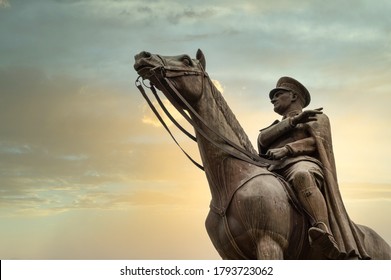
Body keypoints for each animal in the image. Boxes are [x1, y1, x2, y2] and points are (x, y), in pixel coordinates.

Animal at [134, 48, 391, 260]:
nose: (143, 57)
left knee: (304, 178)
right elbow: (265, 136)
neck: (230, 182)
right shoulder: (231, 257)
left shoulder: (269, 243)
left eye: (186, 60)